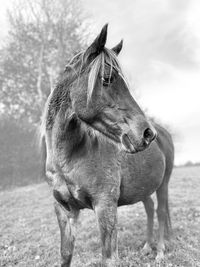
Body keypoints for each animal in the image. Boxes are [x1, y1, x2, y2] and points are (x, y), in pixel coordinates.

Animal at [40, 24, 173, 266]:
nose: (147, 133)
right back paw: (147, 247)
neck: (70, 159)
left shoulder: (105, 208)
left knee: (160, 211)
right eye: (107, 78)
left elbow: (110, 258)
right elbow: (65, 255)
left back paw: (159, 251)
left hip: (163, 184)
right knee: (150, 209)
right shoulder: (64, 211)